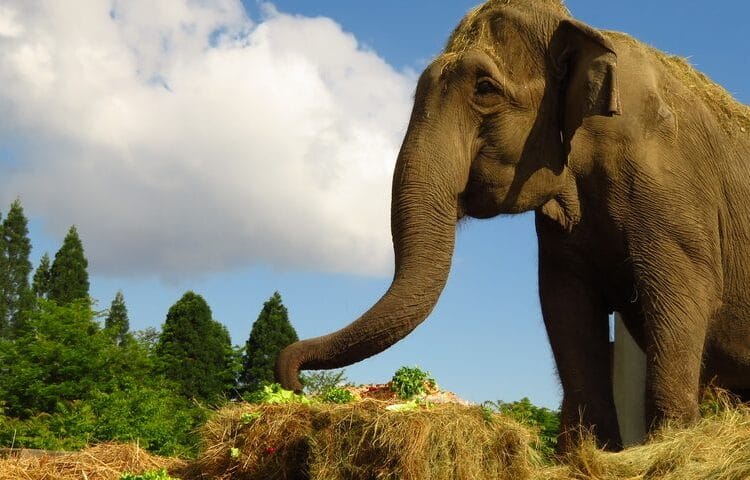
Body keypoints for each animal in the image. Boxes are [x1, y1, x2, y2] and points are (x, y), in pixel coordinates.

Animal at [276, 0, 750, 451]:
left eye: (484, 88)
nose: (295, 384)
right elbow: (566, 308)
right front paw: (593, 454)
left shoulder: (672, 190)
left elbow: (681, 298)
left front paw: (667, 448)